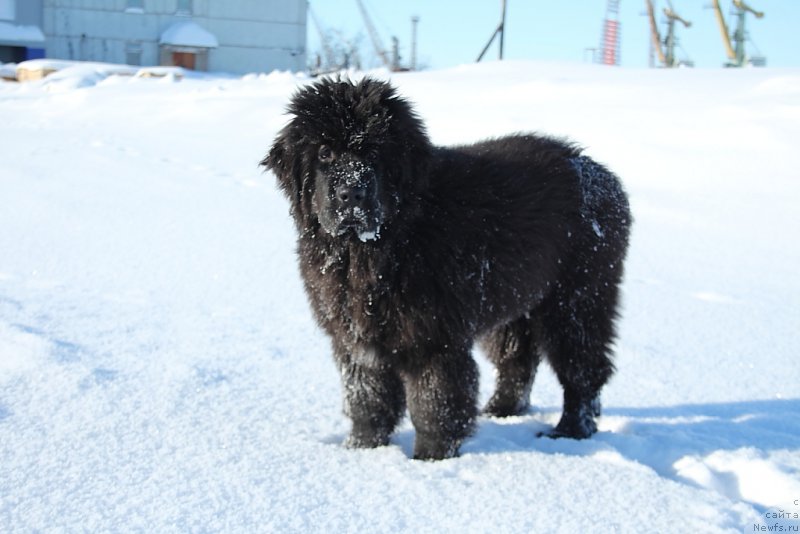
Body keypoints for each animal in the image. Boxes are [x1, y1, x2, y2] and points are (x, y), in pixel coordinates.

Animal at [262, 77, 632, 462]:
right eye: (324, 153)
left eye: (376, 153)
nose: (352, 193)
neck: (374, 249)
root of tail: (602, 174)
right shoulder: (356, 340)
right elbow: (367, 400)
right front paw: (362, 450)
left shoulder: (434, 339)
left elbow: (434, 404)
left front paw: (429, 459)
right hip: (514, 299)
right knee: (517, 359)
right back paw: (501, 410)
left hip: (577, 300)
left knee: (584, 368)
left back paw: (571, 430)